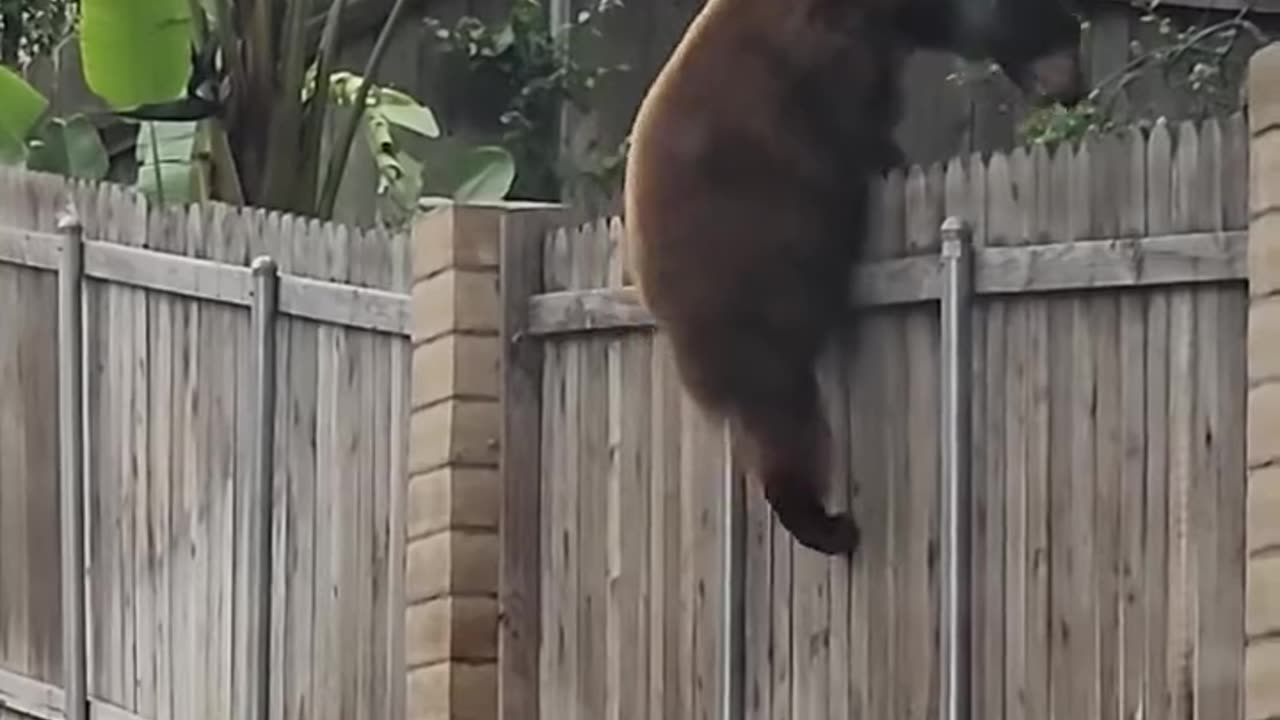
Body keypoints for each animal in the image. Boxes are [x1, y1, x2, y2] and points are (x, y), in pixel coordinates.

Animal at [622, 0, 1090, 556]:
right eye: (1067, 38)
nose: (1077, 87)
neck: (887, 14)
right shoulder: (822, 62)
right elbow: (859, 129)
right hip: (743, 295)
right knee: (787, 418)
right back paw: (826, 523)